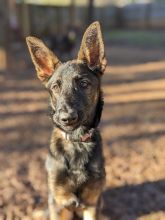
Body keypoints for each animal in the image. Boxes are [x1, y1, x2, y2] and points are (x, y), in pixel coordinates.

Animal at [26, 21, 106, 220]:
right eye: (55, 87)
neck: (76, 143)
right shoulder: (59, 205)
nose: (66, 118)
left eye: (84, 84)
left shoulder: (92, 204)